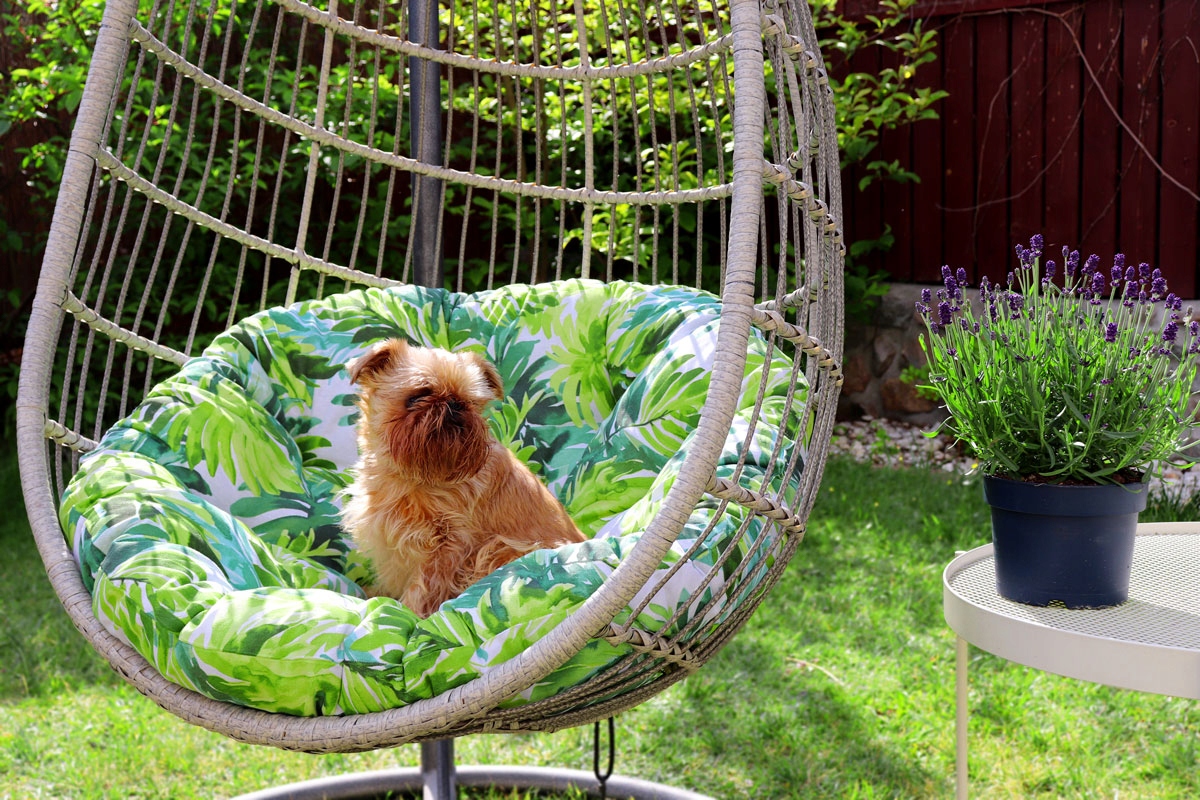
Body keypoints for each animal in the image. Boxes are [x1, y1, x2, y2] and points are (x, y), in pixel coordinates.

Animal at [340, 338, 586, 617]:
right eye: (418, 396)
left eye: (470, 402)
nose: (454, 403)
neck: (413, 477)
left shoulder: (447, 547)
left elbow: (423, 587)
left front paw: (408, 613)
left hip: (502, 550)